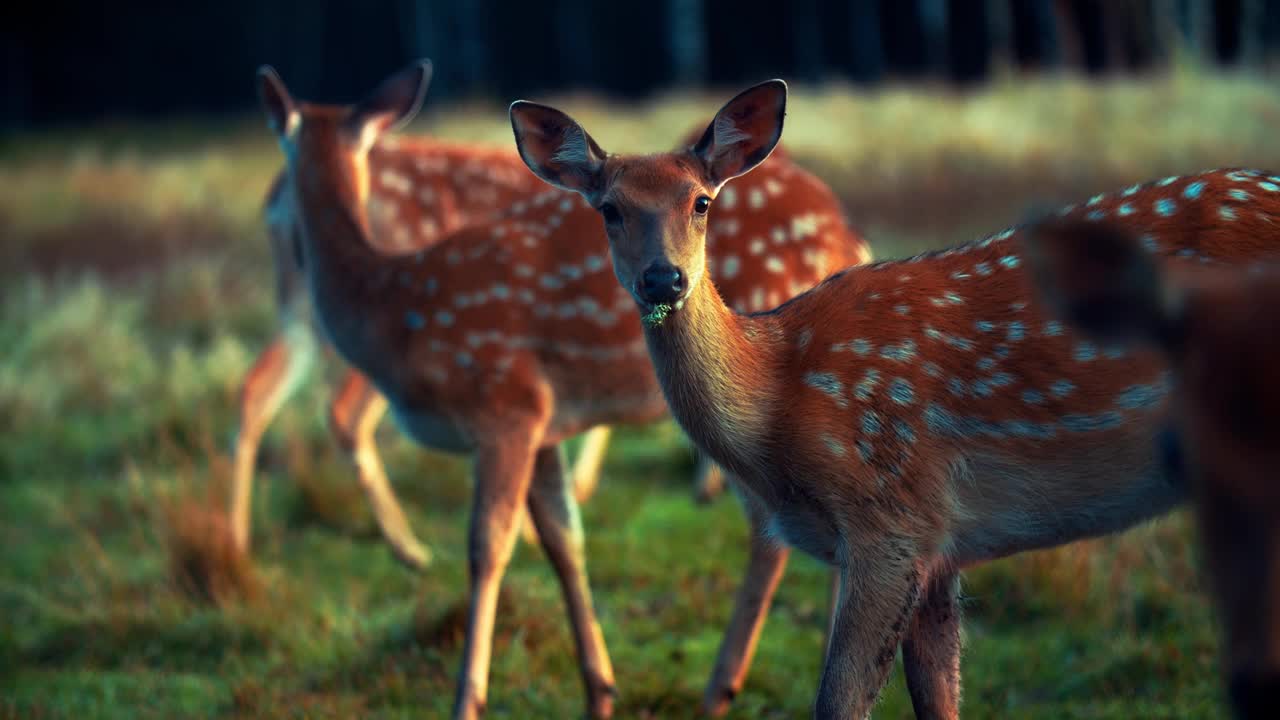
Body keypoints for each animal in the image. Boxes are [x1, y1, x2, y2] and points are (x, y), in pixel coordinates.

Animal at [252, 63, 870, 717]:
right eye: (608, 210)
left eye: (702, 203)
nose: (662, 278)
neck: (393, 308)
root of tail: (847, 236)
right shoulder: (544, 424)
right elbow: (563, 538)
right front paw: (599, 687)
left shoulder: (504, 403)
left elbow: (487, 547)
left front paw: (468, 698)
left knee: (770, 533)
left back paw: (720, 686)